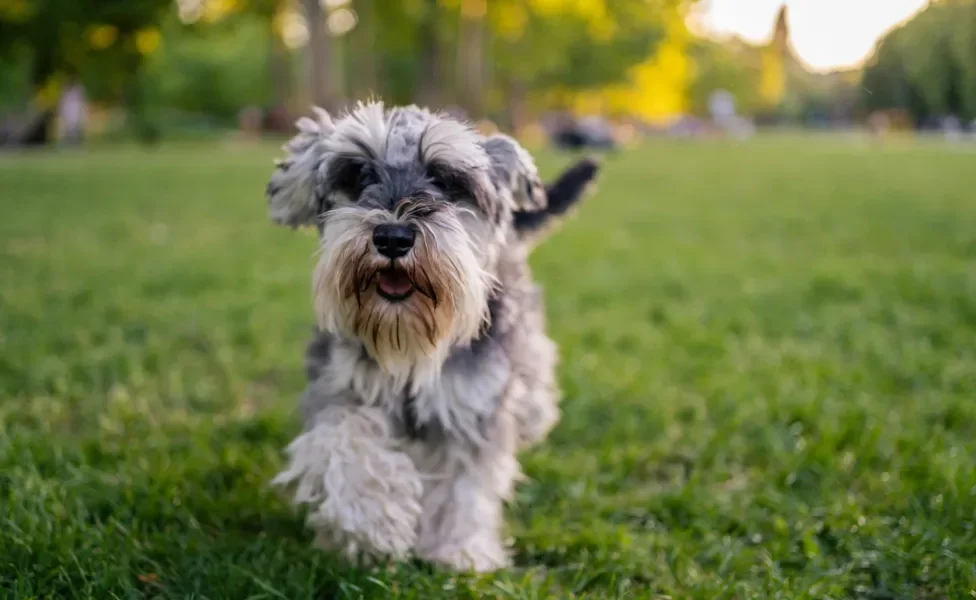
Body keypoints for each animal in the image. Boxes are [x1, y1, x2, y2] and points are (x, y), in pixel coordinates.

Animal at [264, 99, 596, 572]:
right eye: (357, 174)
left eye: (446, 179)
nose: (392, 237)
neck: (409, 338)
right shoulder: (342, 389)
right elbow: (345, 445)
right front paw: (372, 525)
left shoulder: (474, 406)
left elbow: (466, 486)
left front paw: (461, 552)